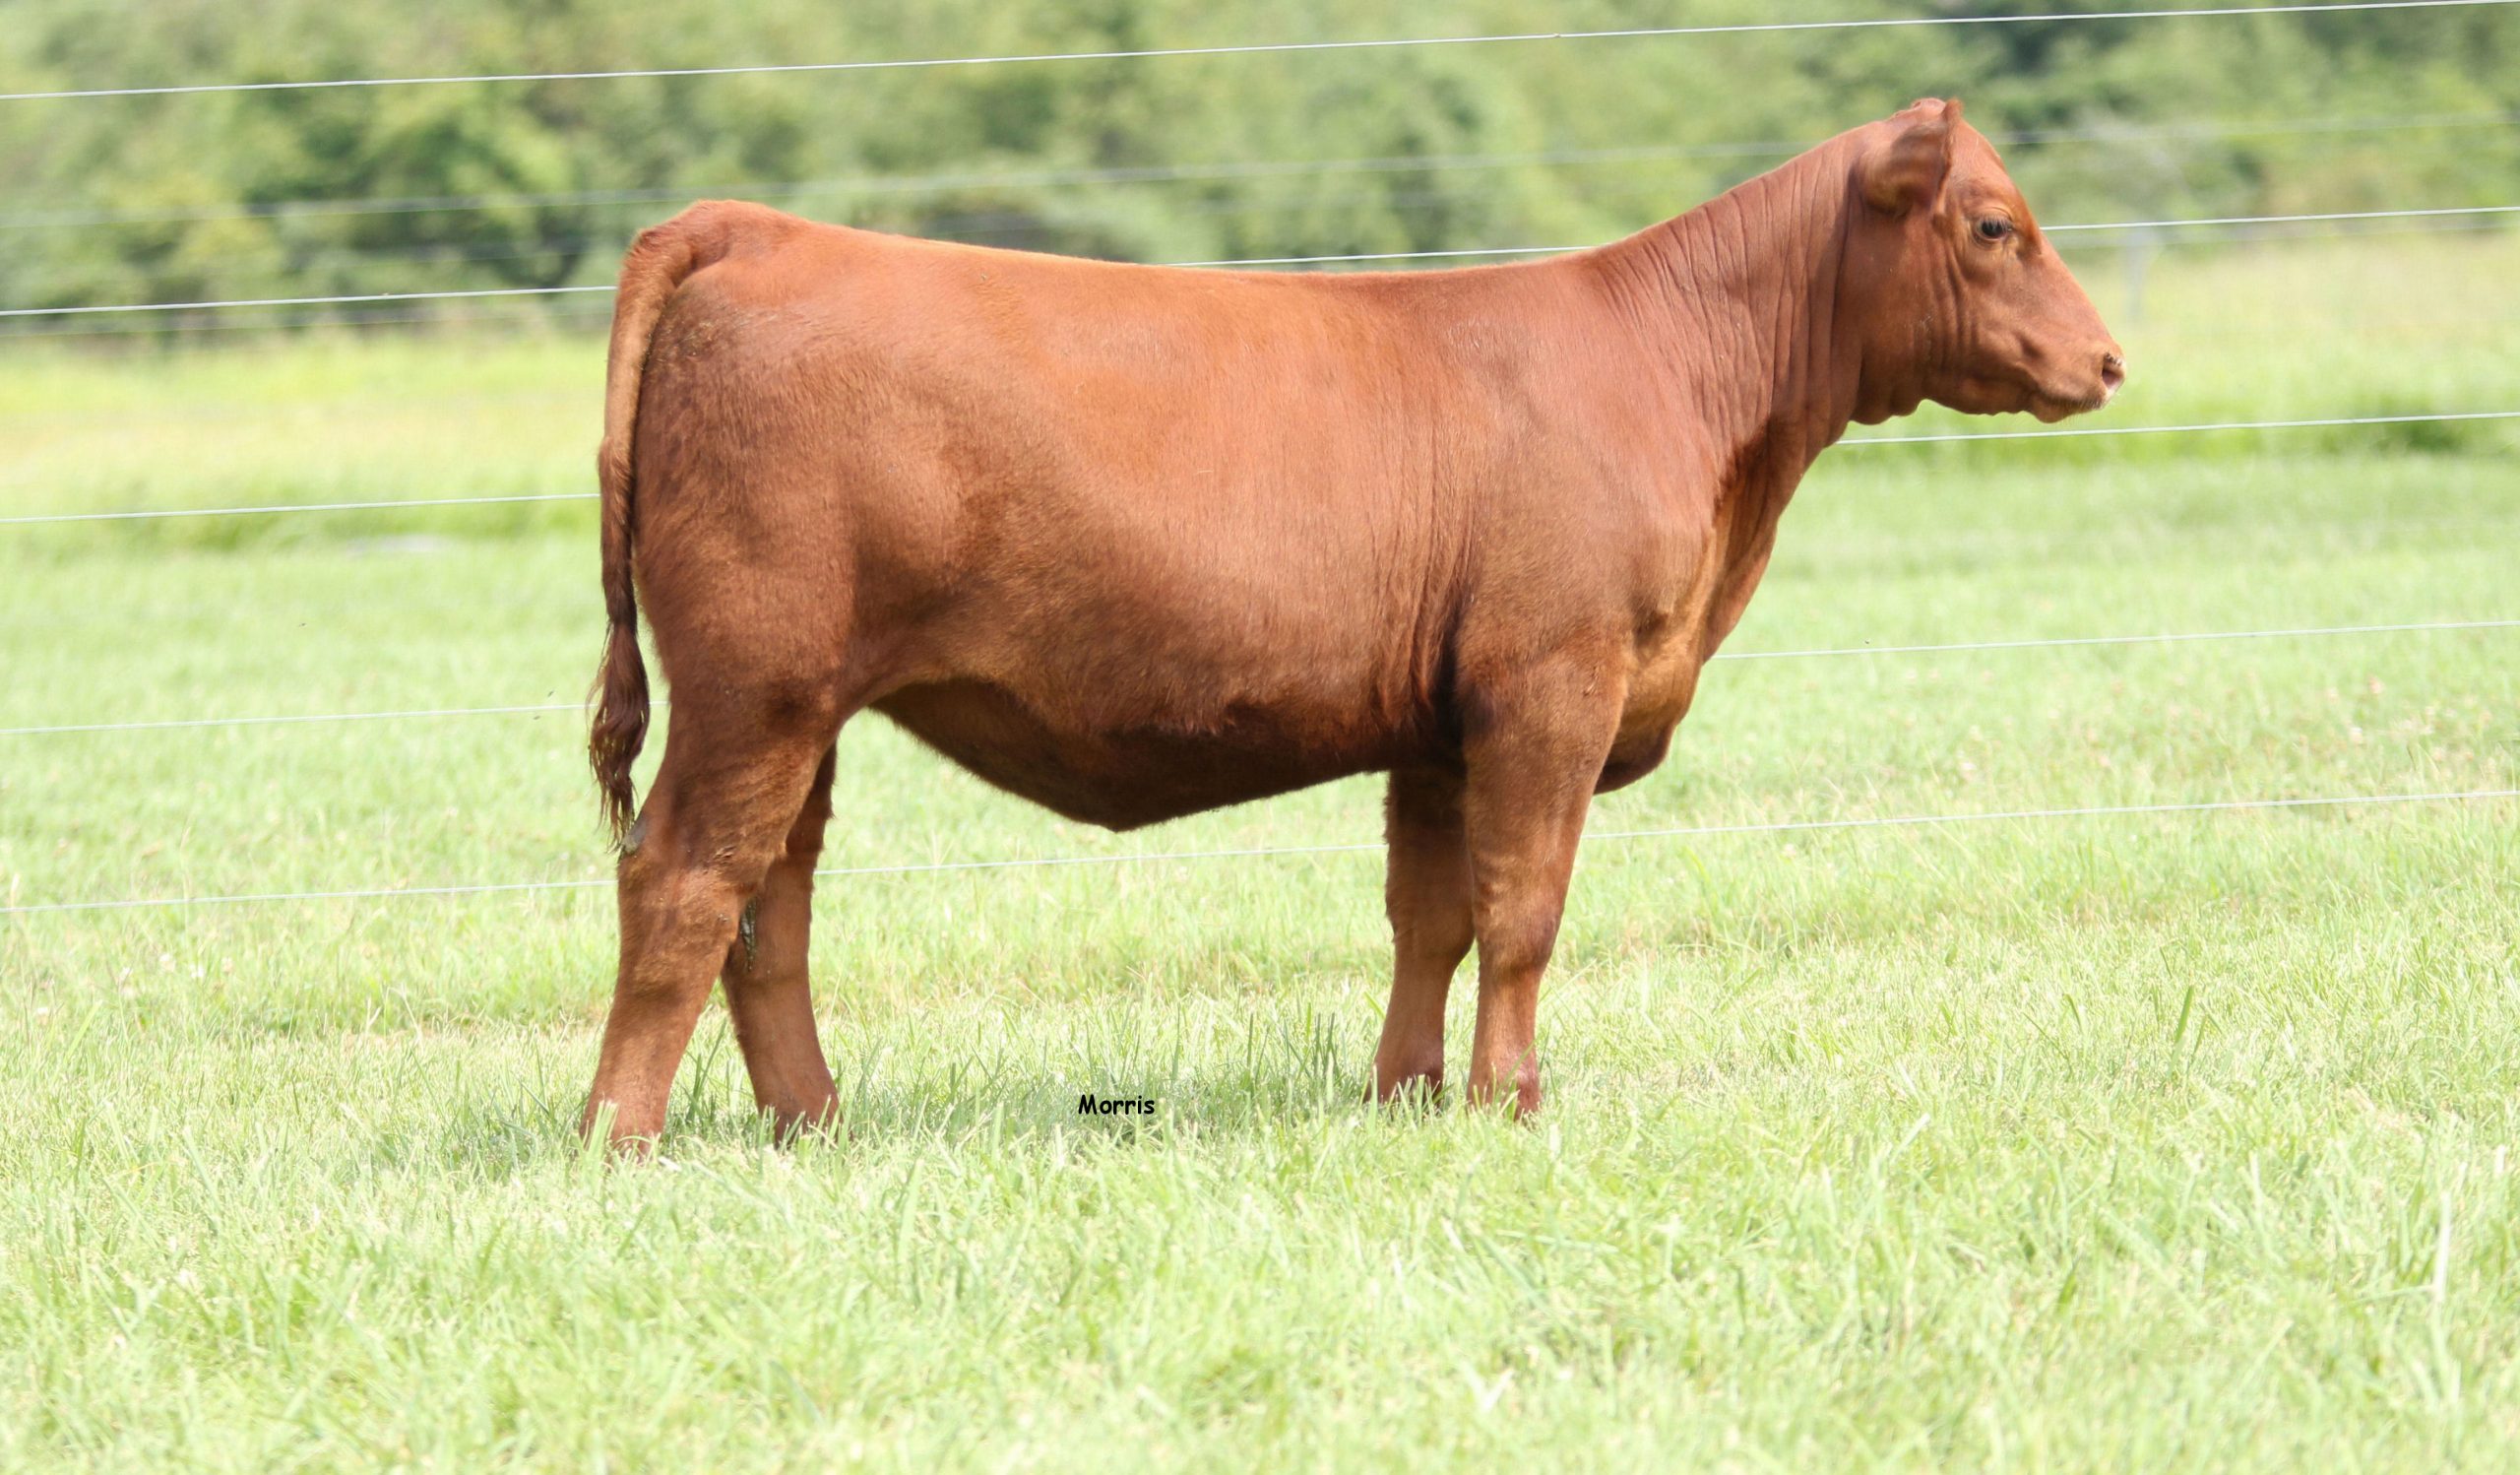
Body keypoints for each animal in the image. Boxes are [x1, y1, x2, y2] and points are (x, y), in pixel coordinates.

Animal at [578, 98, 2123, 1149]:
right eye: (1995, 224)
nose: (2109, 359)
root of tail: (754, 226)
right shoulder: (1549, 683)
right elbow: (1523, 909)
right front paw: (1511, 1100)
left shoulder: (1441, 725)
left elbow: (1430, 915)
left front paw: (1407, 1093)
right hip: (756, 684)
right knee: (685, 881)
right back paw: (620, 1133)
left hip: (801, 705)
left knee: (770, 902)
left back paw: (810, 1118)